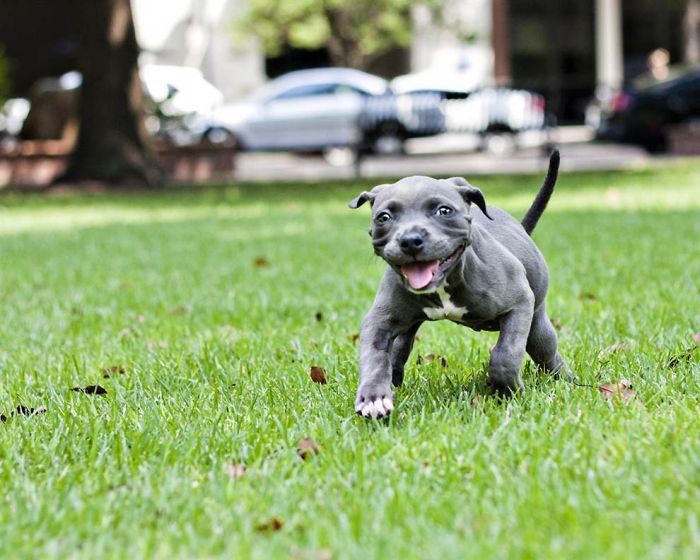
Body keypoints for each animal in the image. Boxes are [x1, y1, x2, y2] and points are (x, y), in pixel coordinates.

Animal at [350, 151, 568, 418]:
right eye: (384, 217)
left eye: (444, 211)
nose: (410, 240)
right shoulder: (379, 321)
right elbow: (374, 356)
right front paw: (374, 398)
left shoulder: (519, 304)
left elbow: (505, 355)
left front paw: (507, 391)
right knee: (399, 349)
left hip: (537, 326)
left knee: (547, 352)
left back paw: (567, 381)